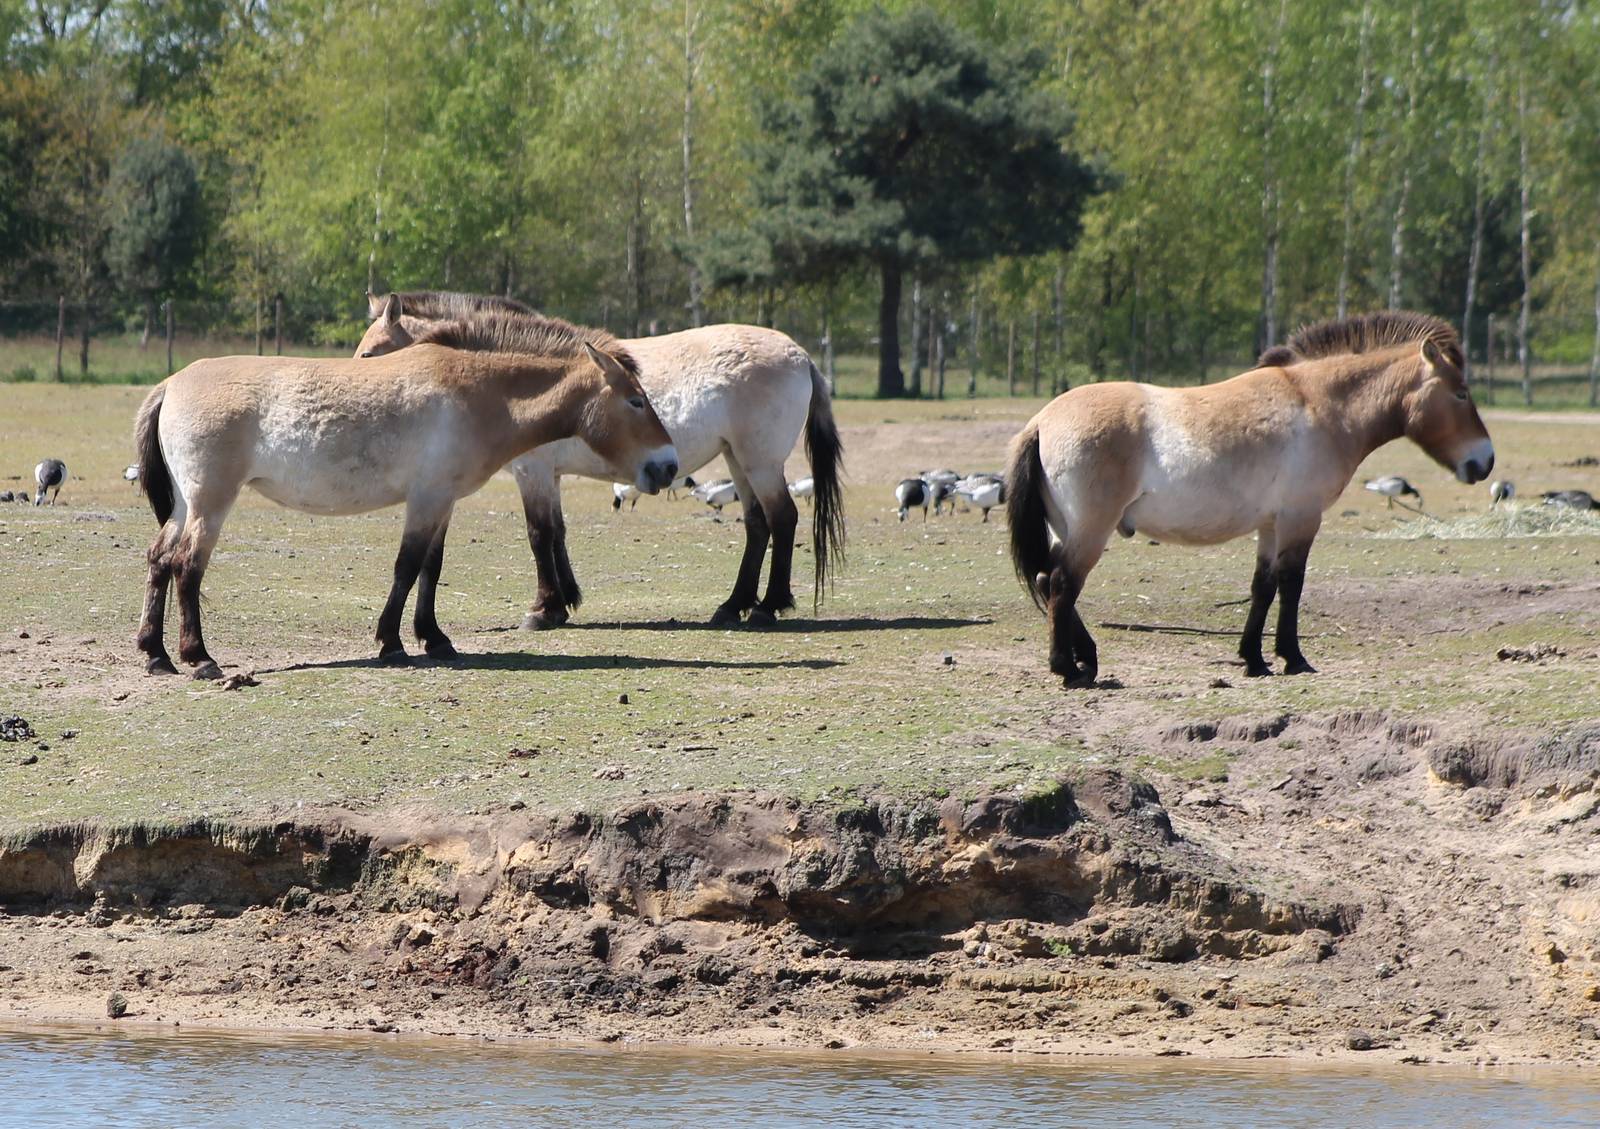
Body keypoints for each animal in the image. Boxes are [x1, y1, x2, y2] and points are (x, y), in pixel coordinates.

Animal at [135, 299, 677, 678]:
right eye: (635, 400)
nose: (668, 466)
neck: (476, 389)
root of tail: (171, 383)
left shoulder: (441, 501)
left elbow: (430, 569)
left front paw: (434, 639)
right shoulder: (426, 498)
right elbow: (407, 566)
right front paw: (392, 643)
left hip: (184, 504)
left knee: (159, 559)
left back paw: (156, 655)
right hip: (209, 503)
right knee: (187, 565)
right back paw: (198, 658)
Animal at [354, 292, 845, 628]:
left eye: (370, 353)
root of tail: (800, 354)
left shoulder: (532, 471)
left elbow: (538, 534)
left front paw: (544, 609)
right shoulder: (547, 475)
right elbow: (556, 533)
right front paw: (565, 600)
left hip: (759, 462)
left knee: (782, 519)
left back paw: (768, 606)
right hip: (737, 460)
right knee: (758, 524)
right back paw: (733, 605)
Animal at [1005, 311, 1494, 687]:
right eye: (1461, 392)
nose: (1485, 461)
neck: (1321, 404)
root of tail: (1041, 420)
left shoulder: (1271, 525)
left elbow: (1264, 586)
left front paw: (1254, 660)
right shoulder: (1301, 518)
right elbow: (1292, 584)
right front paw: (1293, 658)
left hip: (1067, 529)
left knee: (1048, 582)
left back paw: (1086, 658)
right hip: (1091, 530)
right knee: (1062, 584)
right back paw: (1068, 669)